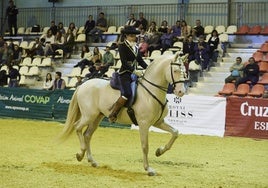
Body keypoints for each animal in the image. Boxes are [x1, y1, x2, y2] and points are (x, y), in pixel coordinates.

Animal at [57, 53, 185, 176]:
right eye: (175, 71)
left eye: (184, 71)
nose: (181, 92)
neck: (150, 92)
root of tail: (83, 85)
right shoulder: (144, 124)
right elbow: (145, 146)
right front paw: (149, 169)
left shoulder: (158, 122)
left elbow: (175, 132)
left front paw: (159, 151)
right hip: (88, 116)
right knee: (77, 127)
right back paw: (80, 154)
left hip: (96, 118)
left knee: (87, 135)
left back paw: (92, 161)